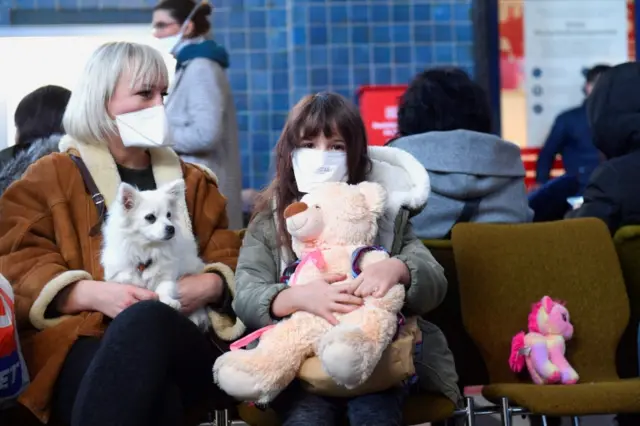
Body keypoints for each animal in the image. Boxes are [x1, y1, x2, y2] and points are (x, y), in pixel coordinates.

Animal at [101, 178, 209, 328]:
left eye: (169, 215)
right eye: (150, 217)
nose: (171, 228)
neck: (147, 249)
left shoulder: (167, 275)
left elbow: (164, 287)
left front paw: (169, 301)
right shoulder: (120, 277)